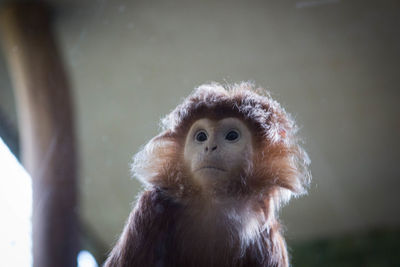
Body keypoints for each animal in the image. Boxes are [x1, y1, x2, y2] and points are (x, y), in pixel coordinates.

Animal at [103, 82, 310, 266]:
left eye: (232, 136)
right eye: (201, 136)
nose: (210, 147)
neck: (214, 203)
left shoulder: (267, 236)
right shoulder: (150, 208)